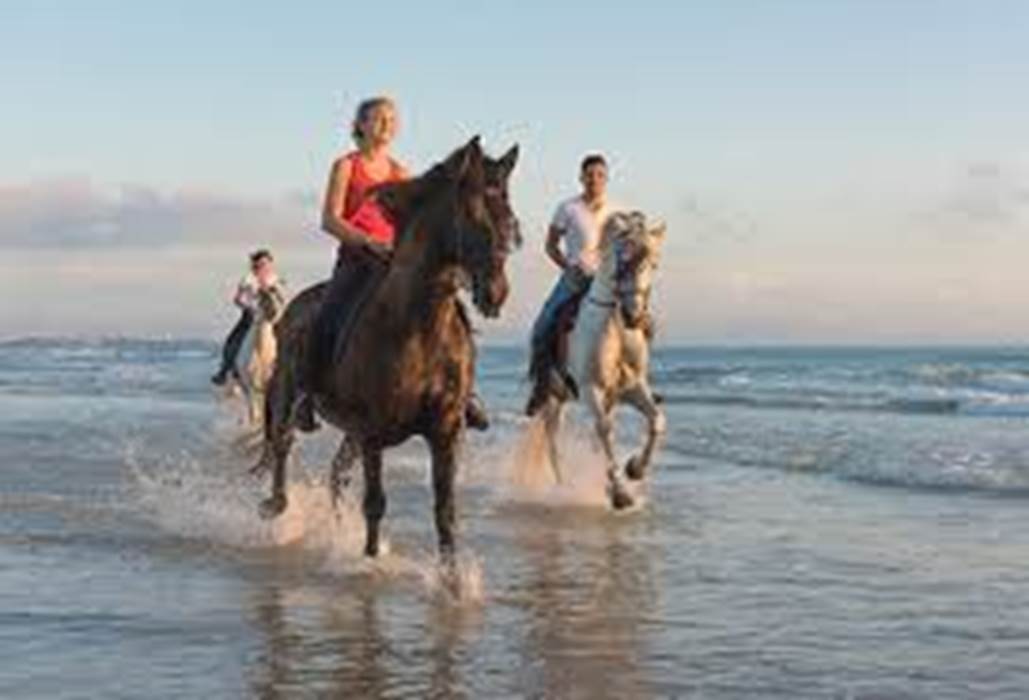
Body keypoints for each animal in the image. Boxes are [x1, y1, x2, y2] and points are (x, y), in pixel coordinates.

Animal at [254, 136, 520, 563]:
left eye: (509, 218)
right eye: (475, 215)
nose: (496, 293)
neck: (419, 326)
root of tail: (288, 309)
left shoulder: (446, 430)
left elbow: (446, 511)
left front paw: (452, 576)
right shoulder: (374, 432)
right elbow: (375, 504)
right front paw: (371, 562)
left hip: (350, 433)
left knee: (337, 475)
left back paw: (335, 531)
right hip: (288, 397)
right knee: (282, 444)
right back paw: (276, 506)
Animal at [536, 211, 666, 510]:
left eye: (653, 264)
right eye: (623, 259)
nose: (633, 315)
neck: (614, 329)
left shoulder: (633, 387)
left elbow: (657, 420)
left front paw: (635, 469)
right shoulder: (589, 389)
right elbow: (605, 429)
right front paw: (620, 494)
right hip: (553, 397)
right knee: (553, 441)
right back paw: (562, 486)